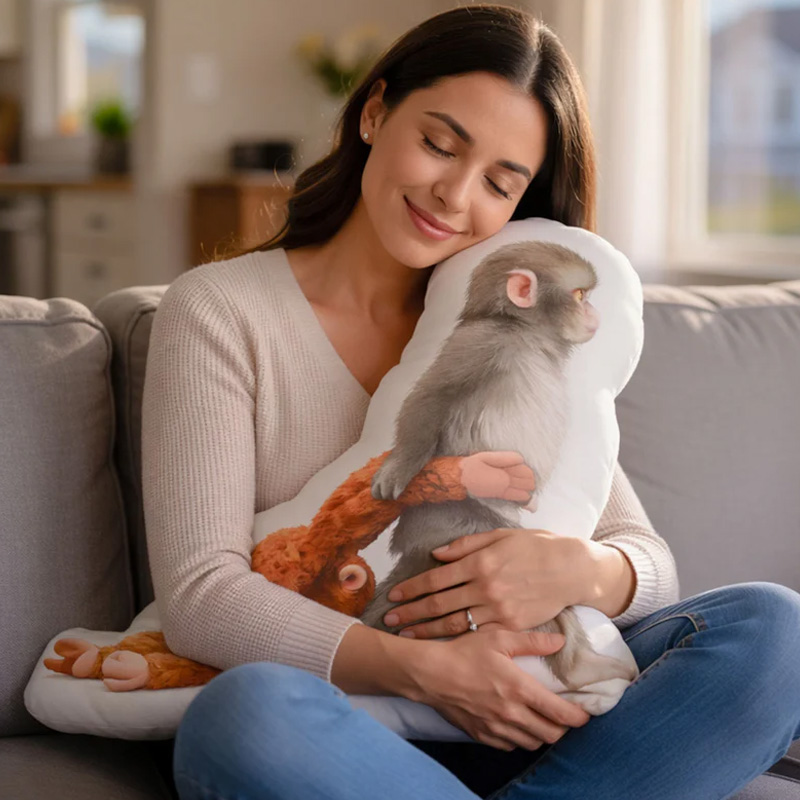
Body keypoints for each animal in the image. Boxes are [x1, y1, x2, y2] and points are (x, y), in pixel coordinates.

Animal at [360, 240, 638, 692]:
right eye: (580, 295)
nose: (595, 314)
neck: (526, 335)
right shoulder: (479, 342)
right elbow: (432, 395)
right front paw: (399, 465)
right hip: (457, 525)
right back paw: (580, 669)